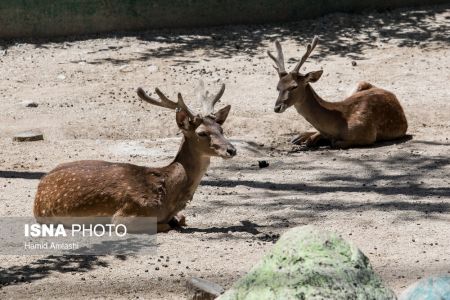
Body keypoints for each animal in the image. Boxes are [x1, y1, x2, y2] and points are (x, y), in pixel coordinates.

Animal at [33, 81, 237, 232]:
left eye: (221, 129)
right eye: (202, 133)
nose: (231, 150)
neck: (168, 195)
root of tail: (39, 189)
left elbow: (181, 218)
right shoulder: (125, 215)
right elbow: (164, 225)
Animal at [268, 36, 410, 149]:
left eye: (294, 86)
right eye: (278, 87)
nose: (277, 107)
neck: (340, 123)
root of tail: (391, 93)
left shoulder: (368, 135)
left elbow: (334, 142)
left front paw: (317, 140)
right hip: (356, 86)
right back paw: (299, 137)